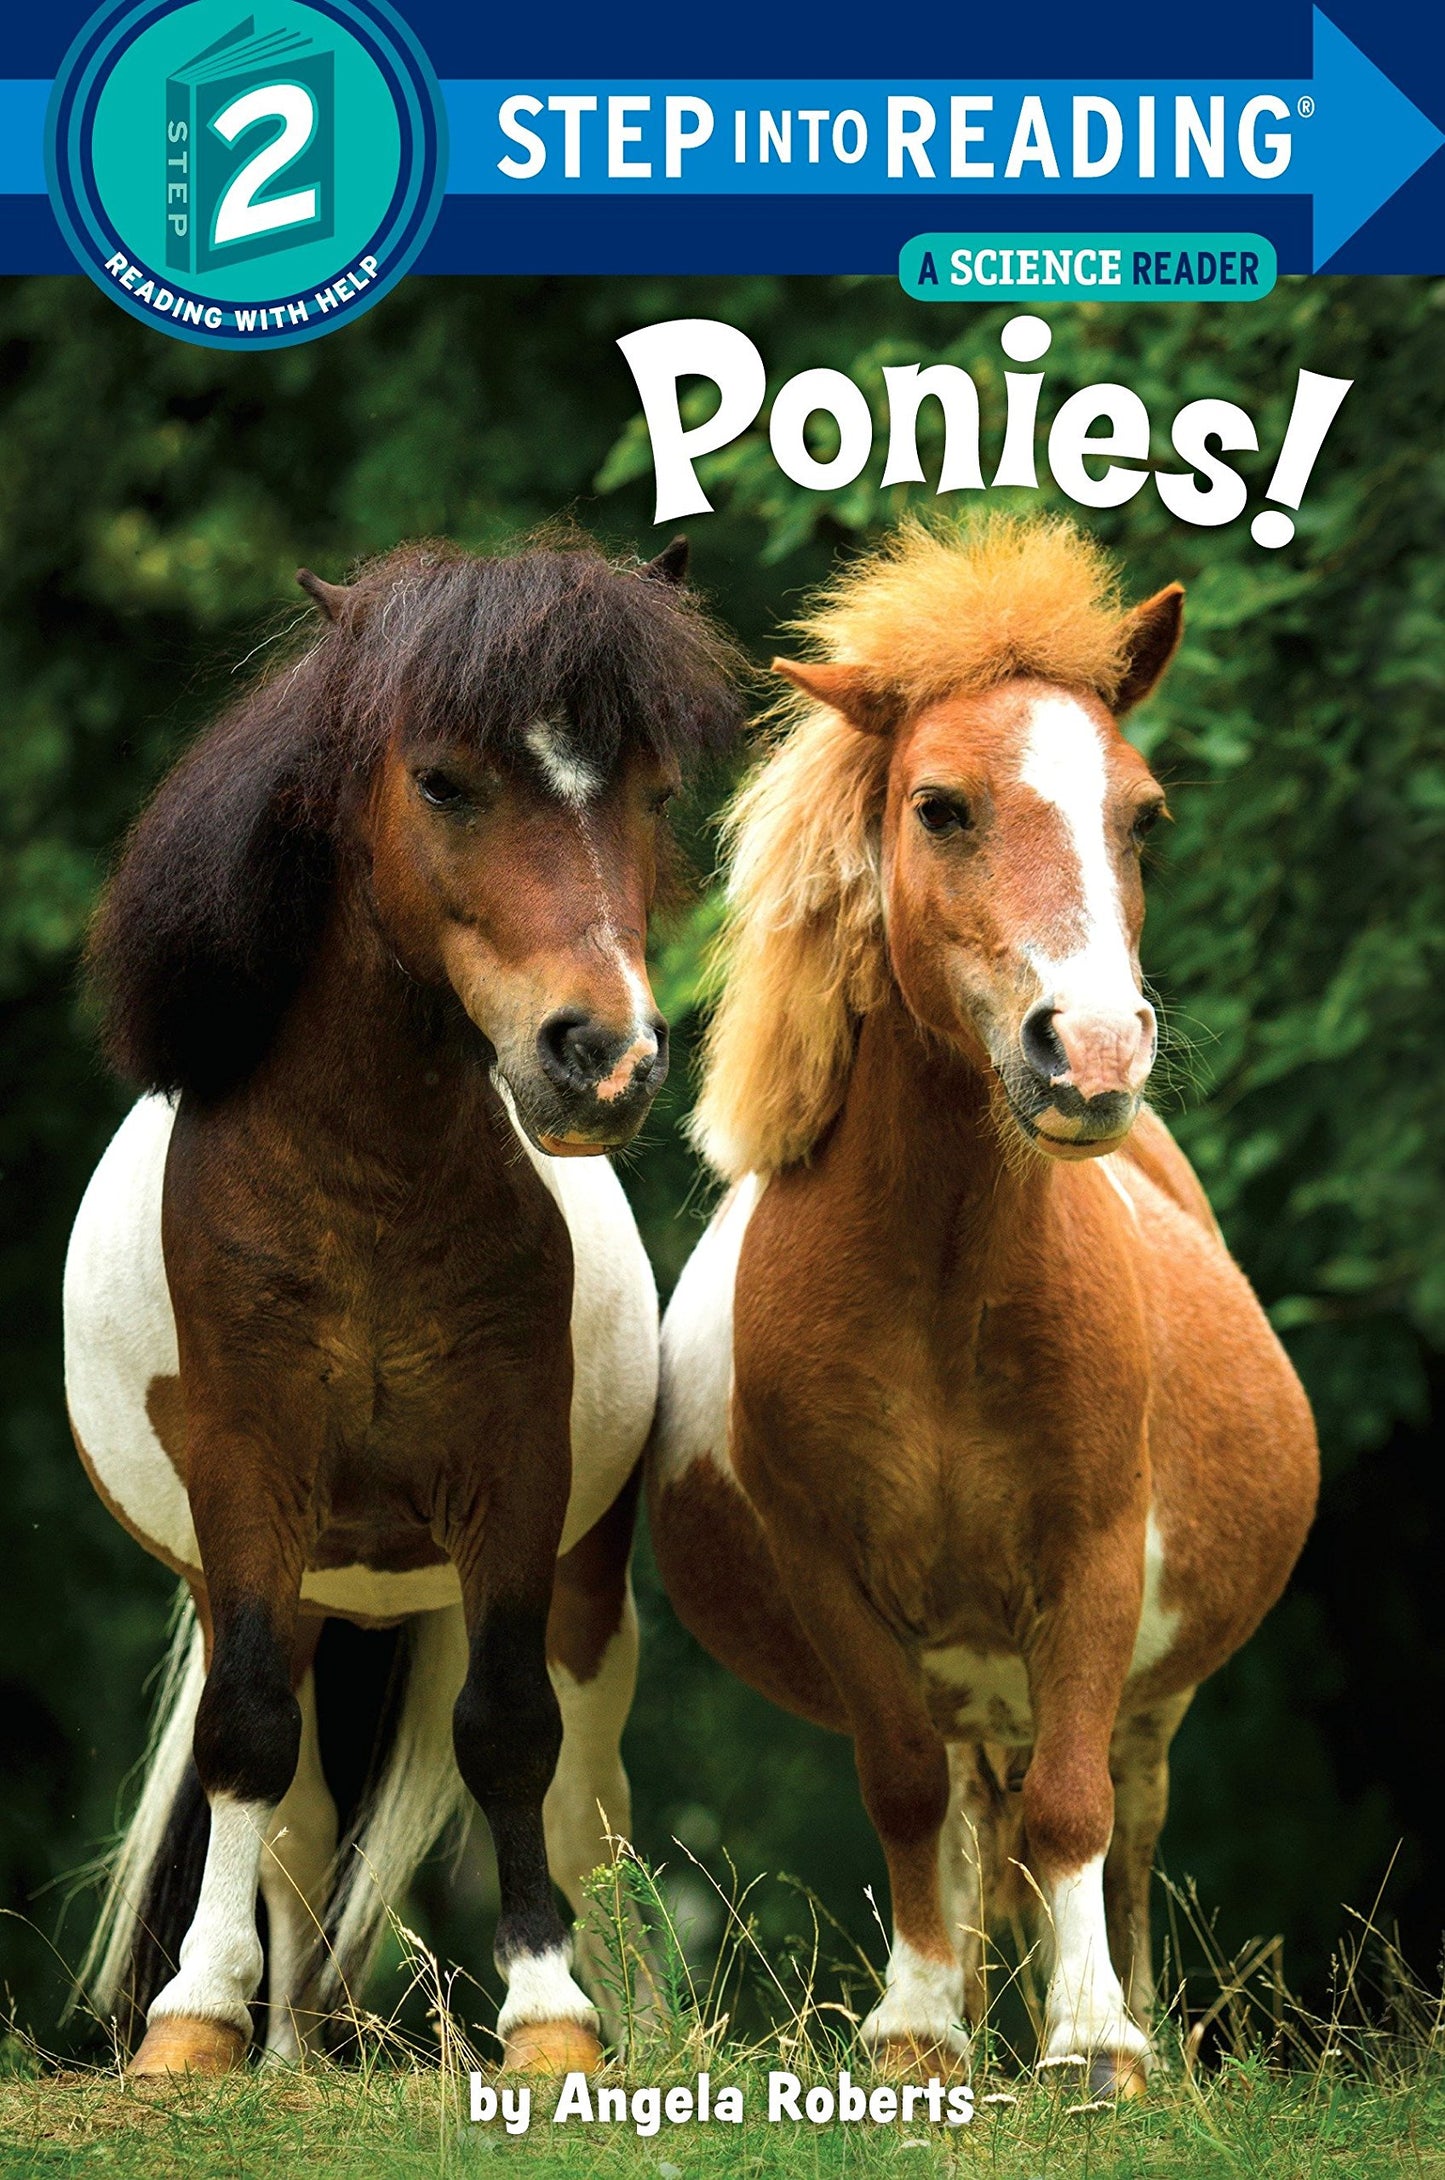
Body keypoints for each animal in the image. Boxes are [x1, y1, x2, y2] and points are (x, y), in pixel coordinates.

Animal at [64, 532, 740, 2077]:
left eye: (653, 791)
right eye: (441, 781)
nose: (604, 1056)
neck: (366, 1188)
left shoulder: (514, 1483)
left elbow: (508, 1737)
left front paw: (552, 2022)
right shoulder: (247, 1489)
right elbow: (246, 1745)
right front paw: (191, 2029)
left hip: (574, 1586)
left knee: (583, 1797)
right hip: (294, 1588)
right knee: (295, 1816)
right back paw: (286, 2050)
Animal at [649, 516, 1319, 2097]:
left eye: (1143, 817)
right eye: (940, 806)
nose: (1093, 1052)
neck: (940, 1284)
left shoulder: (1089, 1562)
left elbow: (1072, 1808)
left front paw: (1093, 2042)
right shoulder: (833, 1577)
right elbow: (901, 1793)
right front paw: (914, 2031)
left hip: (1146, 1689)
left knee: (1119, 1821)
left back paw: (1138, 2018)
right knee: (957, 1814)